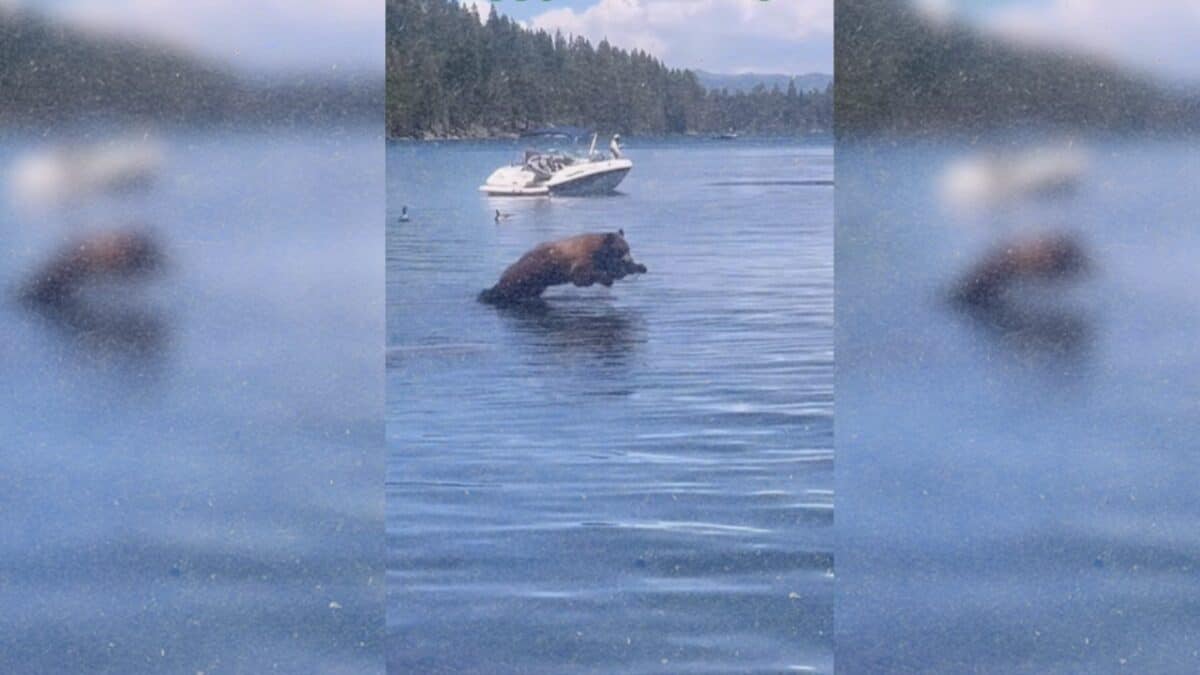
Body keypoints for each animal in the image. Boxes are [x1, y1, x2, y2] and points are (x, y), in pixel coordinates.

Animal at [479, 230, 647, 305]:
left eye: (628, 248)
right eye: (621, 250)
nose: (629, 259)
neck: (599, 251)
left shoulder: (603, 260)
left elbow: (615, 269)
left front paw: (639, 267)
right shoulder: (582, 258)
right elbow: (582, 277)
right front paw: (606, 278)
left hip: (534, 284)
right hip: (521, 275)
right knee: (504, 289)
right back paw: (489, 294)